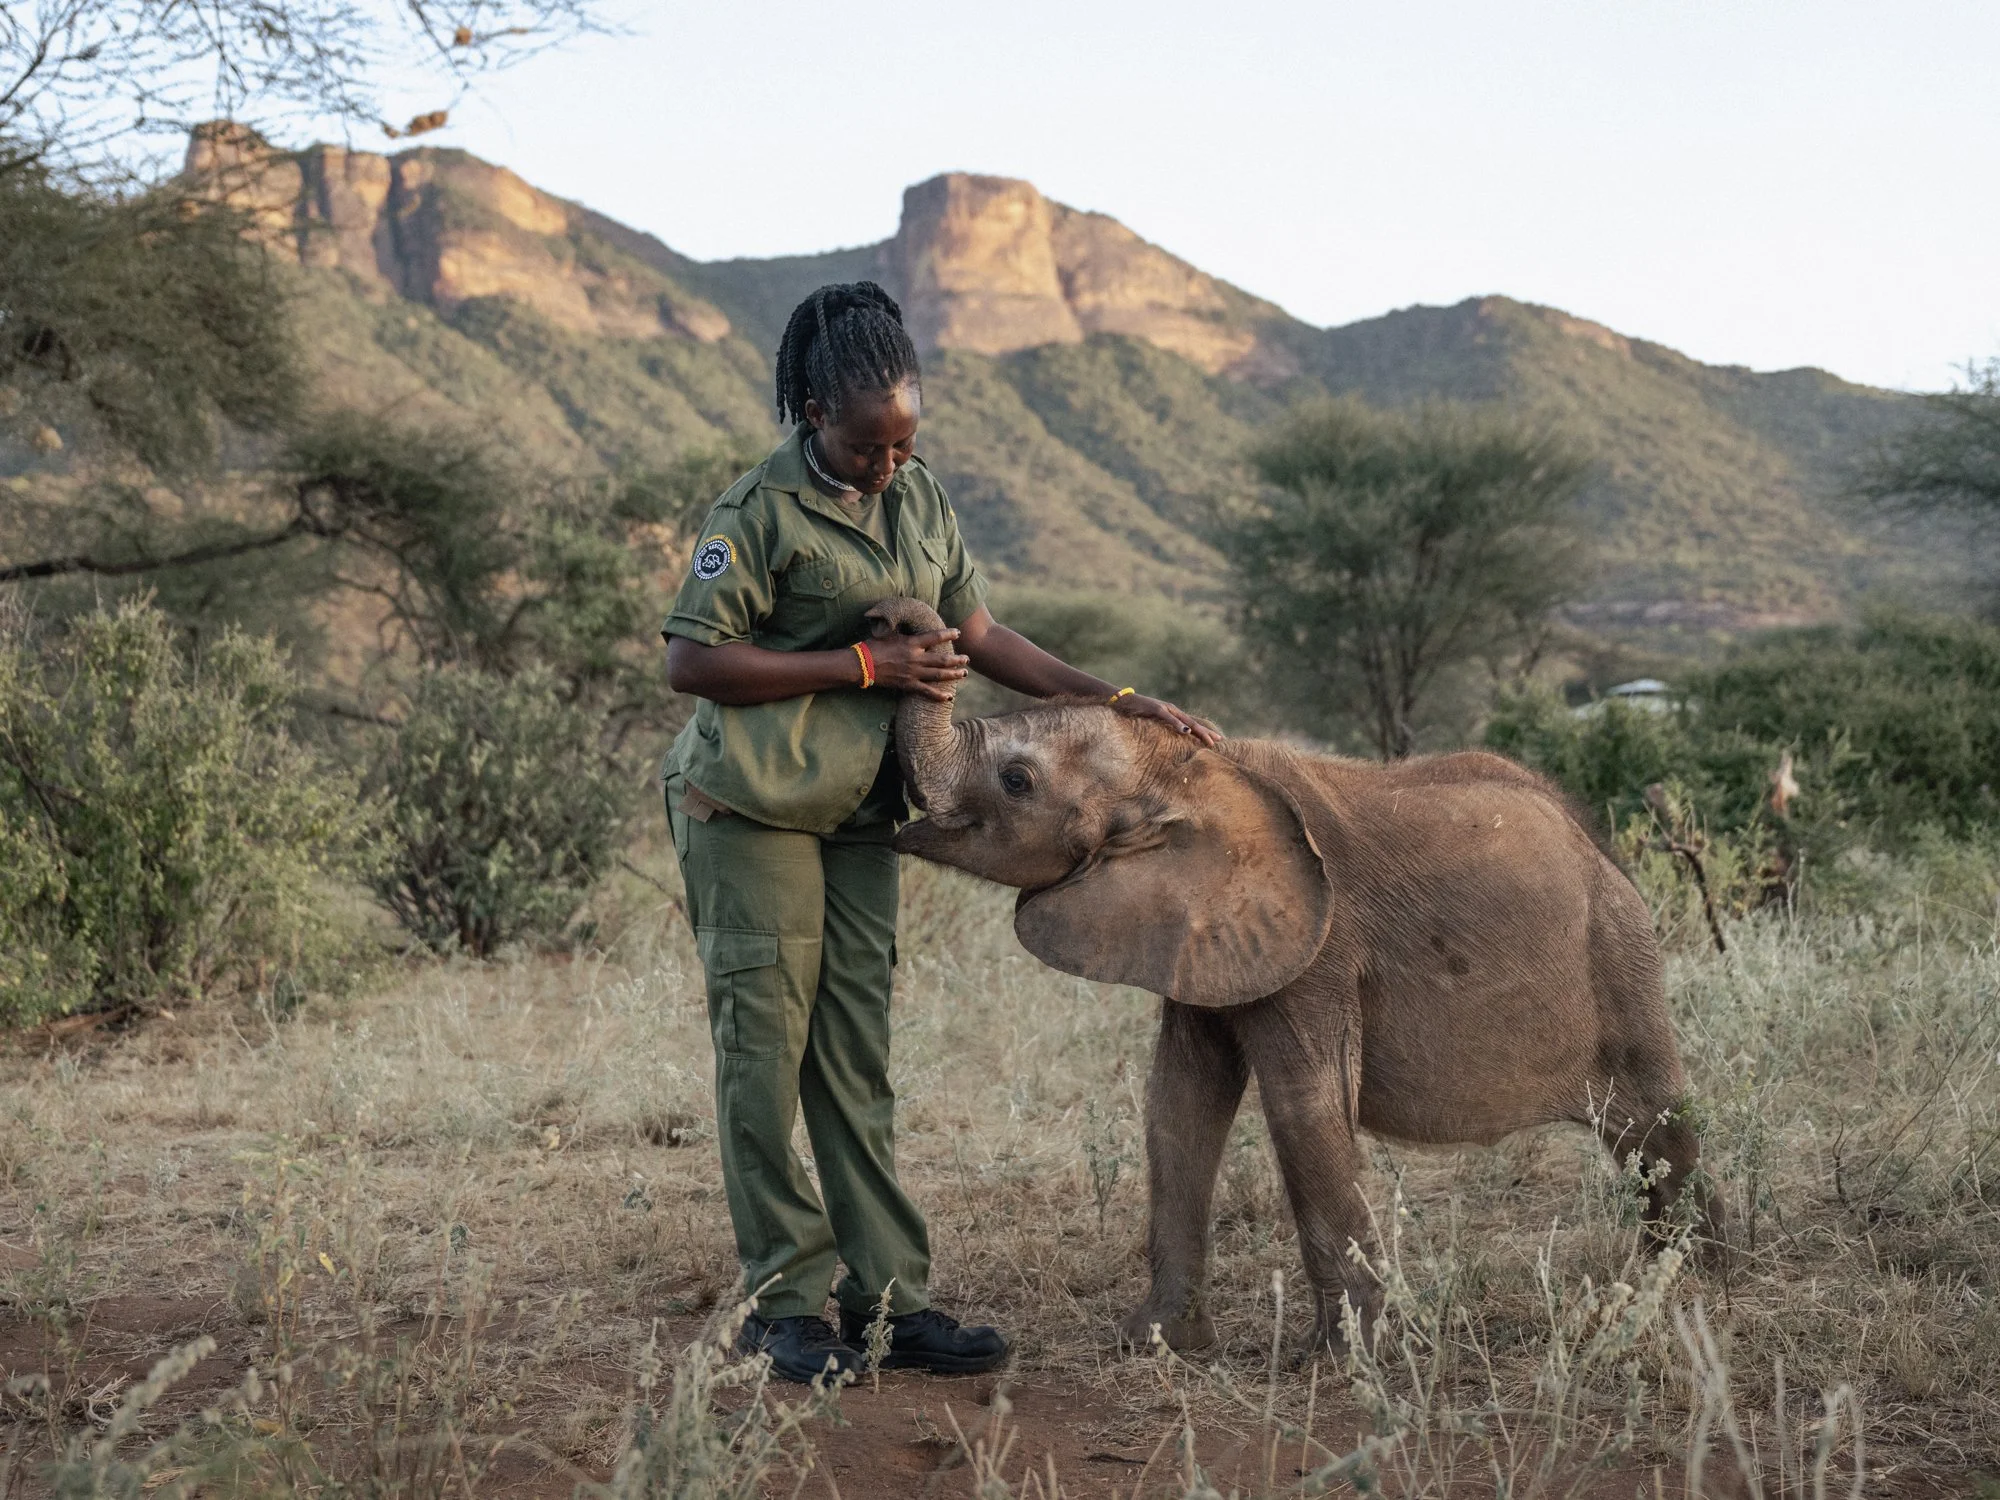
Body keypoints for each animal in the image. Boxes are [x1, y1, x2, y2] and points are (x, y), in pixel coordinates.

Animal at [867, 597, 1713, 1356]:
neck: (1187, 773)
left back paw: (1690, 1285)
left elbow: (1304, 1105)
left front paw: (1346, 1357)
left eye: (1016, 780)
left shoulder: (1319, 946)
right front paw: (1159, 1346)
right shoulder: (1201, 932)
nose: (892, 618)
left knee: (1656, 1119)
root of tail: (1591, 835)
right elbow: (1178, 1103)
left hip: (1618, 950)